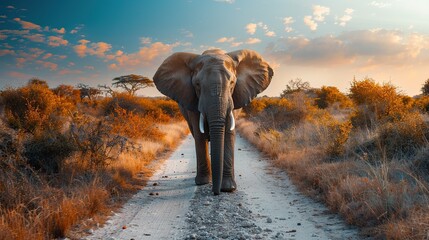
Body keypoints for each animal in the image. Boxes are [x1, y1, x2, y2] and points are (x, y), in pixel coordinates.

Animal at [154, 48, 272, 195]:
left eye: (232, 83)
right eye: (197, 85)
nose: (216, 193)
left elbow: (228, 133)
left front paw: (228, 188)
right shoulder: (193, 100)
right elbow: (200, 134)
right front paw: (203, 182)